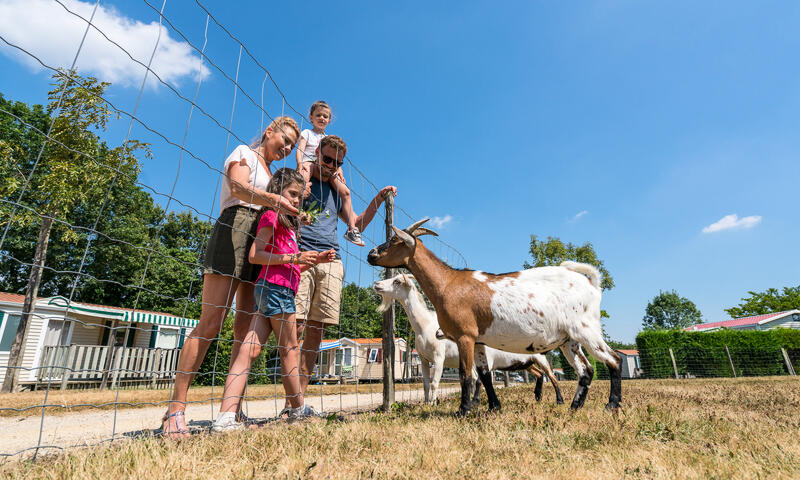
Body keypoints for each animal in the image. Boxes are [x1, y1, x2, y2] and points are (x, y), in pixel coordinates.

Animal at [374, 274, 564, 404]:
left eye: (397, 281)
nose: (377, 284)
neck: (425, 325)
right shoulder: (423, 359)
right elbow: (426, 384)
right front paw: (427, 403)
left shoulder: (439, 357)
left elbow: (435, 383)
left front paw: (434, 404)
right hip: (527, 362)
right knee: (539, 374)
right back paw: (538, 396)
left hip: (540, 358)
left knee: (551, 376)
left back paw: (558, 399)